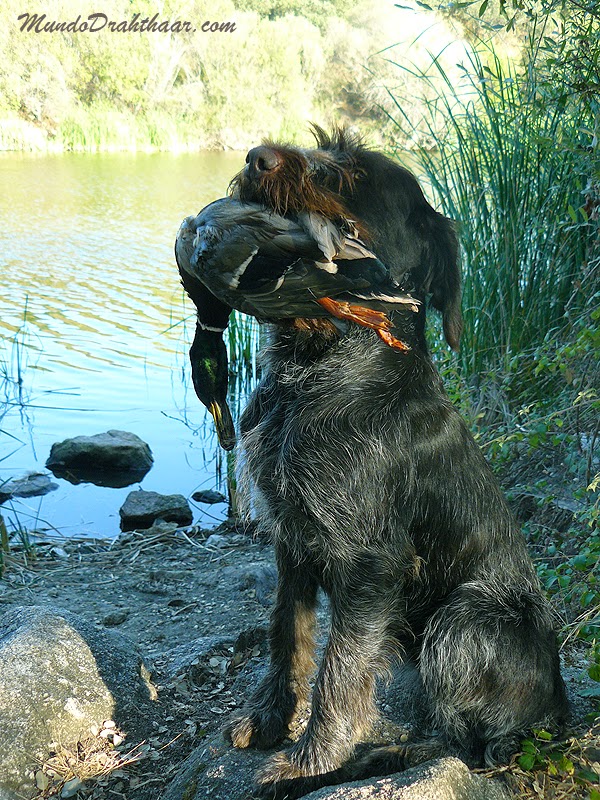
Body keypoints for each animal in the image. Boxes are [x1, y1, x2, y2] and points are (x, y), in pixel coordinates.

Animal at [221, 127, 569, 798]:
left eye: (352, 176)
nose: (257, 157)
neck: (320, 371)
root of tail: (562, 710)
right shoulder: (292, 540)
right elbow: (287, 637)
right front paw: (272, 720)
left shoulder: (369, 562)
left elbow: (341, 668)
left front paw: (311, 762)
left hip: (463, 618)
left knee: (463, 744)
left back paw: (374, 759)